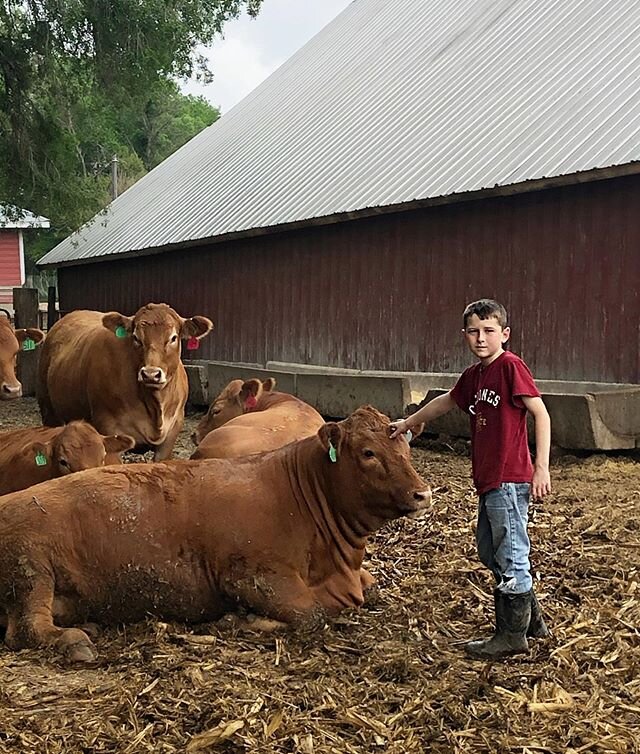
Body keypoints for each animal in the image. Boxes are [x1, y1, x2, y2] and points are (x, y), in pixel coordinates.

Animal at [37, 302, 212, 458]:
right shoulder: (108, 428)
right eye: (136, 338)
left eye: (173, 338)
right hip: (49, 412)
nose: (150, 374)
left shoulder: (171, 435)